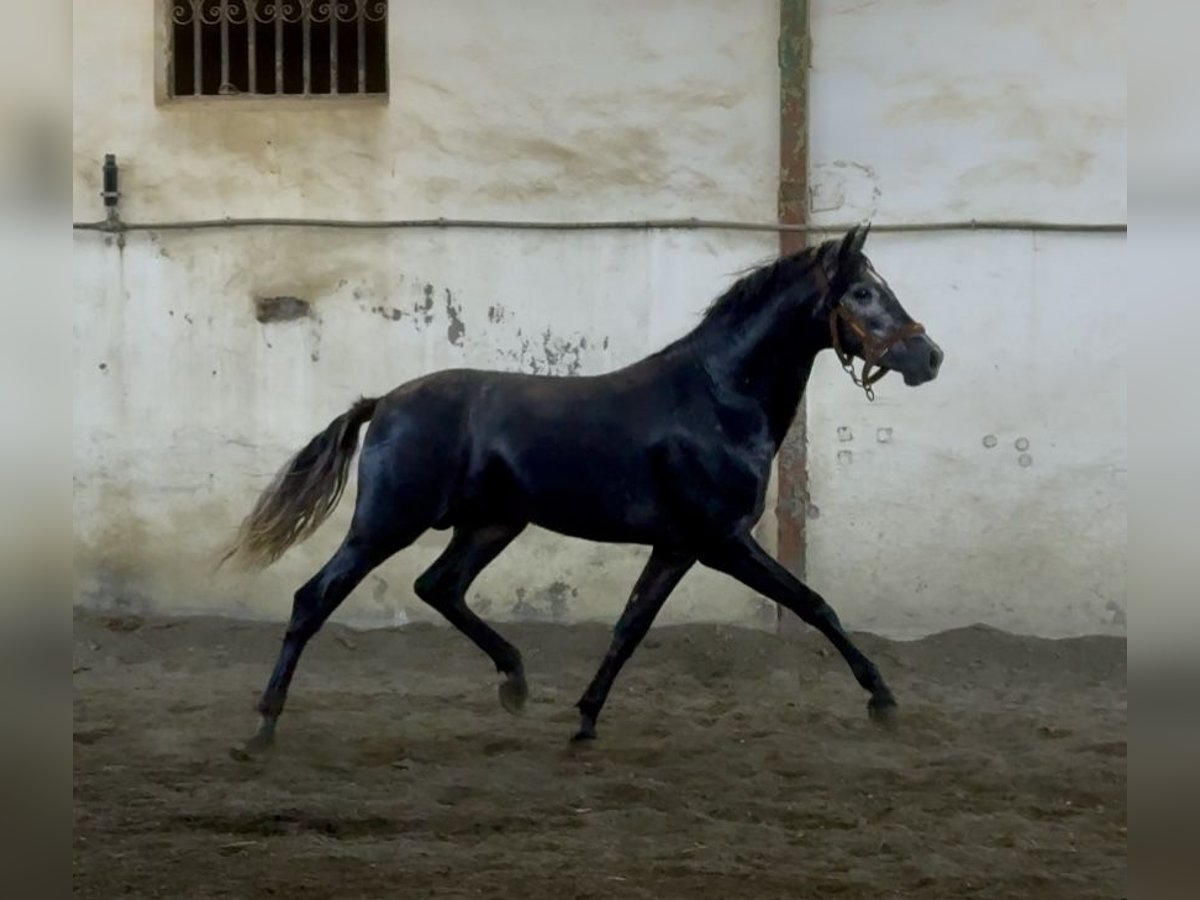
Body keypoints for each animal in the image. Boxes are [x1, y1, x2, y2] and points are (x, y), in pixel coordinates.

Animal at [222, 224, 943, 757]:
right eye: (862, 293)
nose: (929, 357)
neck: (717, 399)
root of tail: (384, 402)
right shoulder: (724, 541)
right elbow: (814, 604)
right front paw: (883, 702)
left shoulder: (677, 547)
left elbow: (630, 626)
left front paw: (585, 720)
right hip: (386, 523)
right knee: (314, 598)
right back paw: (261, 728)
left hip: (491, 524)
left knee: (439, 586)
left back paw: (515, 682)